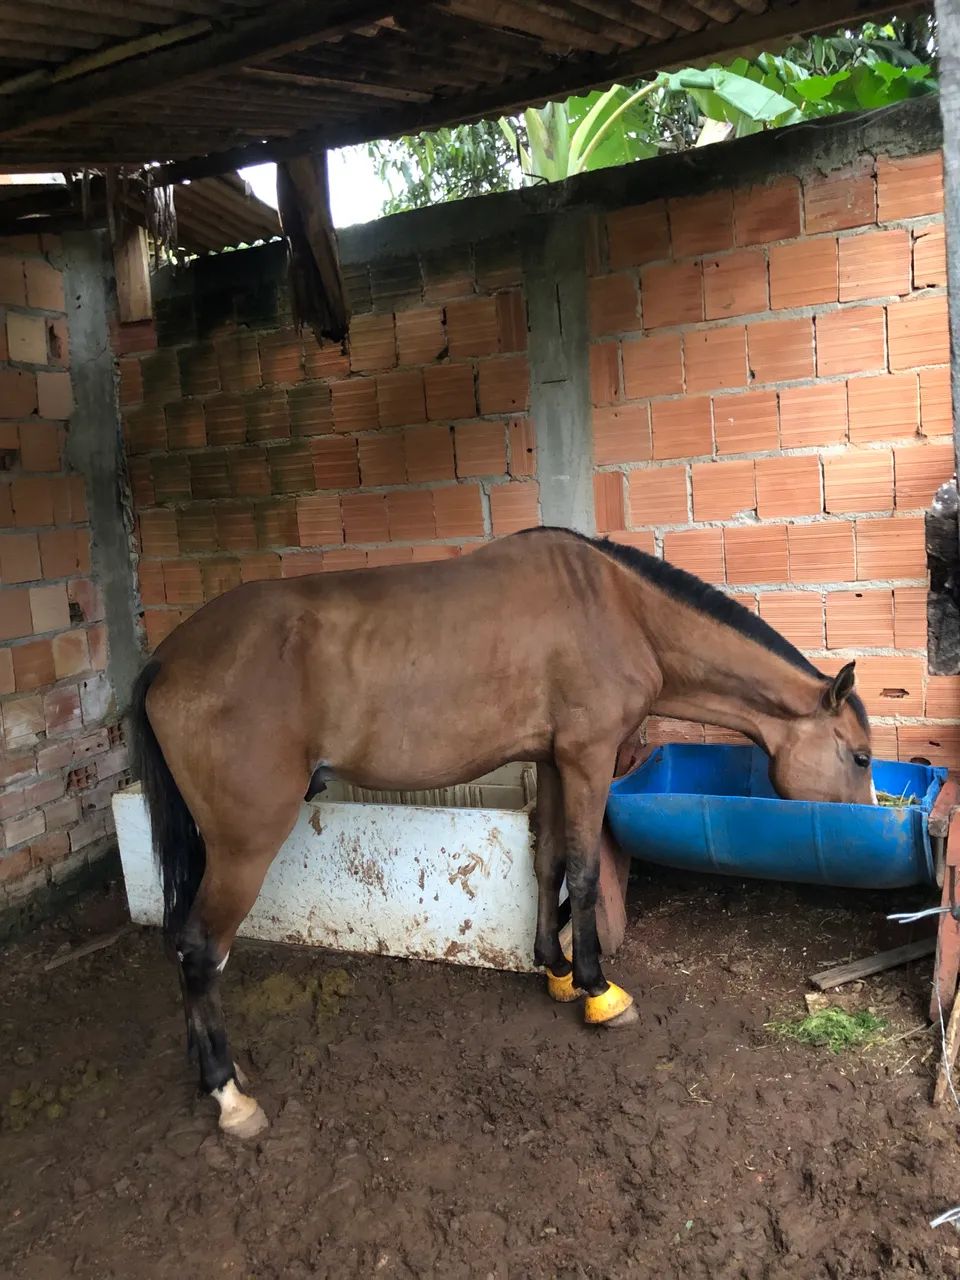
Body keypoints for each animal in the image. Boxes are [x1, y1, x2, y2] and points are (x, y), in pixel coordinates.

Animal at [129, 526, 873, 1138]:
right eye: (861, 757)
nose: (863, 819)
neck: (619, 610)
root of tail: (166, 660)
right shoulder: (588, 755)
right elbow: (584, 870)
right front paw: (598, 991)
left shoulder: (551, 758)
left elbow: (549, 863)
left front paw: (555, 967)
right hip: (244, 843)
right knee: (200, 948)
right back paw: (230, 1098)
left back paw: (218, 1073)